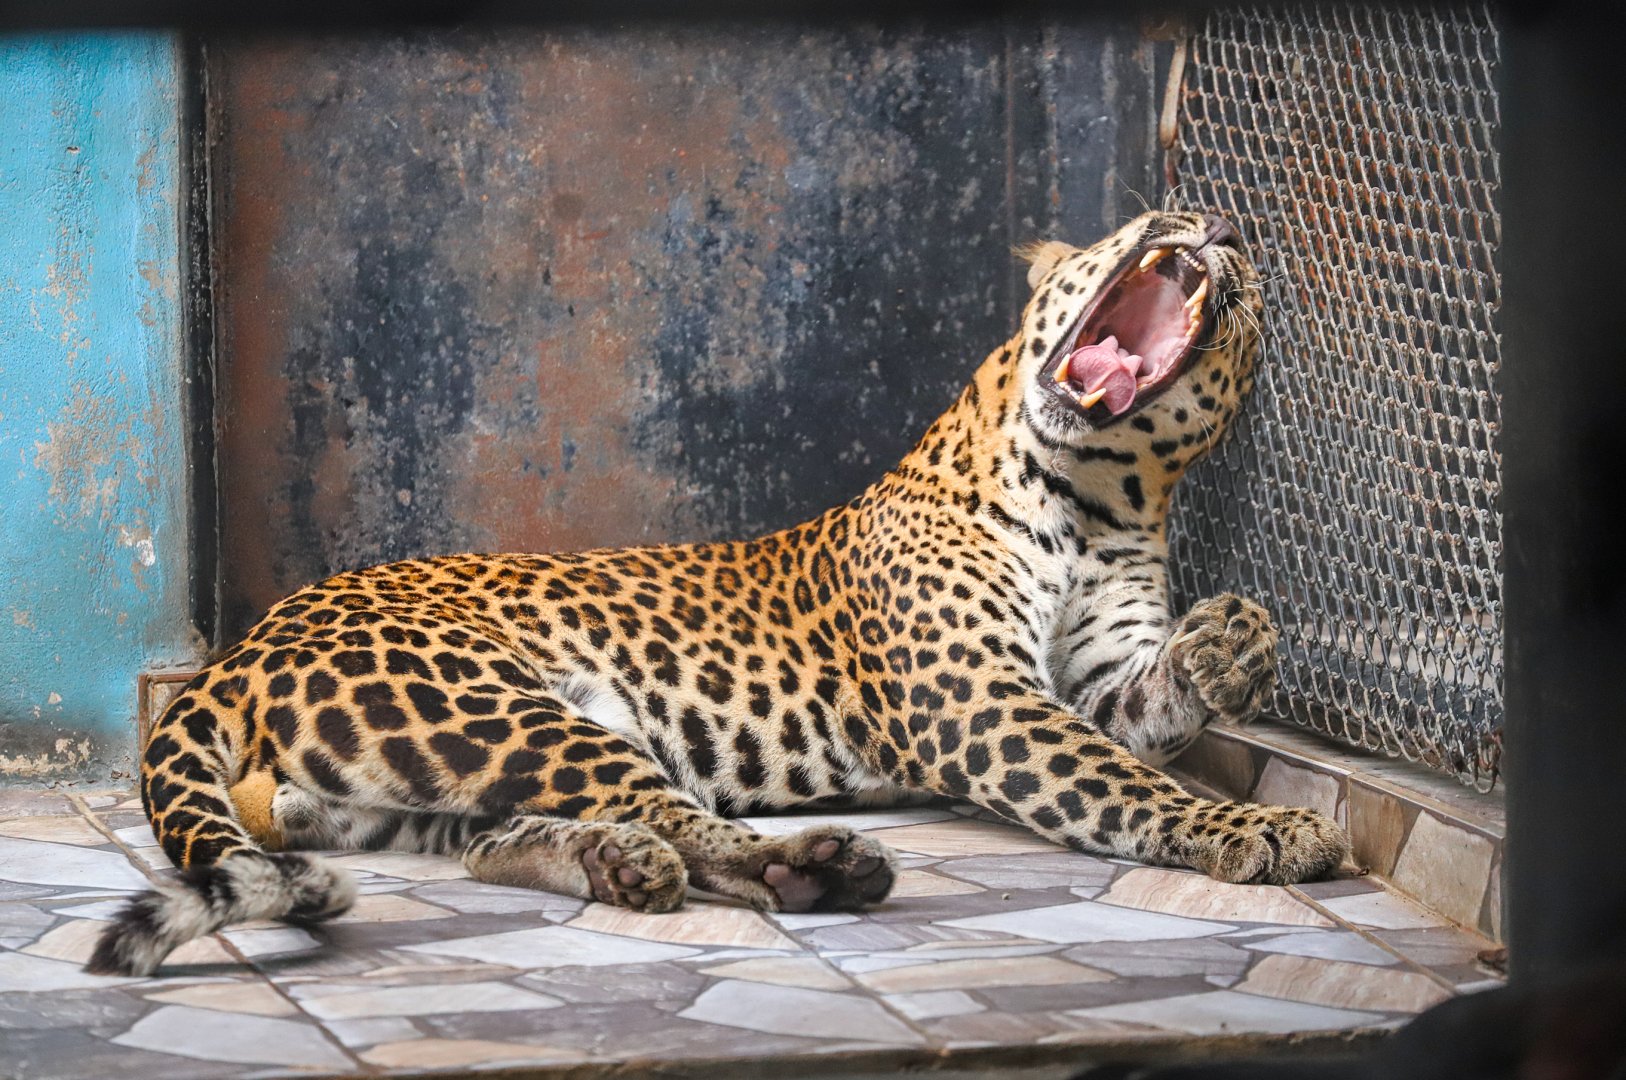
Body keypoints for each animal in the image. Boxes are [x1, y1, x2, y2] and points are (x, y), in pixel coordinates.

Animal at [89, 210, 1348, 977]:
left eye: (1241, 310)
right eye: (1153, 219)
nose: (1222, 228)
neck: (1100, 489)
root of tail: (245, 647)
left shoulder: (1087, 679)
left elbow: (1144, 711)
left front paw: (1231, 644)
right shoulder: (981, 704)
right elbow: (1126, 784)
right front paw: (1258, 827)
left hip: (418, 774)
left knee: (500, 840)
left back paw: (615, 865)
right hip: (500, 705)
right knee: (678, 816)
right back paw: (809, 866)